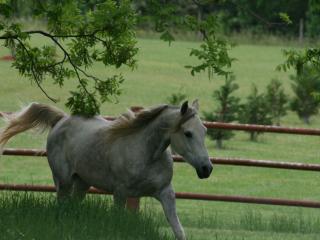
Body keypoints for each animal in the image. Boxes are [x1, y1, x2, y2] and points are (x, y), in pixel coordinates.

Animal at [1, 100, 214, 239]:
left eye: (204, 130)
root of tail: (61, 119)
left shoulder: (166, 192)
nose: (207, 169)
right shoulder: (120, 193)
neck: (146, 154)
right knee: (61, 207)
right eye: (188, 133)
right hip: (63, 182)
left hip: (82, 183)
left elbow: (178, 229)